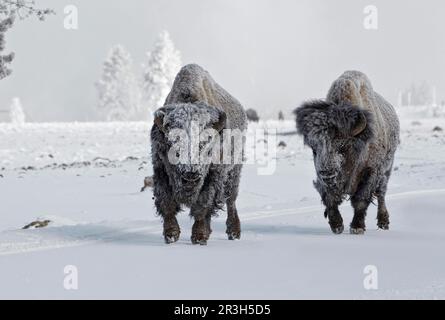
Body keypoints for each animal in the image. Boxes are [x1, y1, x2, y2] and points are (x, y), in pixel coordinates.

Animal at [294, 70, 398, 235]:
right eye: (314, 149)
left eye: (343, 147)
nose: (327, 173)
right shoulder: (322, 179)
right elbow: (329, 198)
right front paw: (337, 225)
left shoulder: (370, 173)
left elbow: (361, 200)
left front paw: (357, 227)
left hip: (386, 171)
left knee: (381, 194)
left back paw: (383, 223)